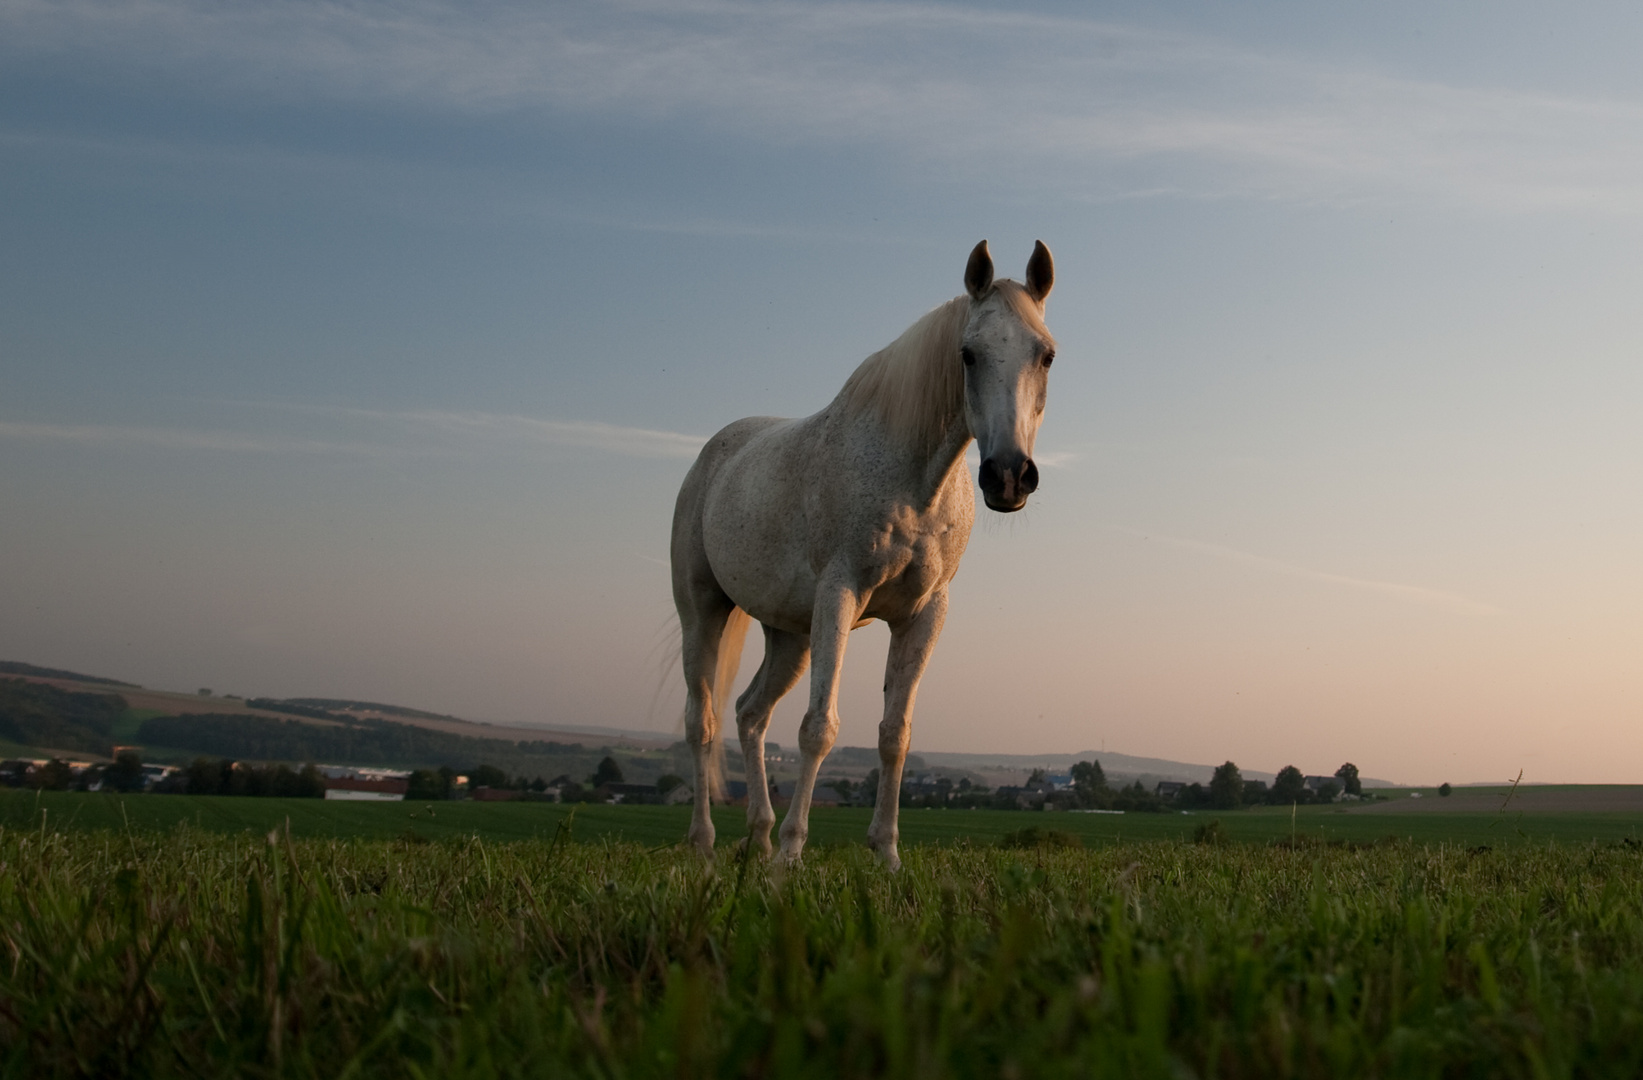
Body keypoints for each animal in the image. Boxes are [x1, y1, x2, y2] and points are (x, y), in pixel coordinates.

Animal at [673, 238, 1058, 867]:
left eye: (1045, 355)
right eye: (968, 355)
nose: (1007, 477)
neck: (915, 480)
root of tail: (714, 455)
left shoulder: (924, 615)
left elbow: (894, 733)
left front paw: (886, 855)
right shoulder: (840, 595)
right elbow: (818, 728)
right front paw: (791, 859)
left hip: (790, 636)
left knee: (750, 714)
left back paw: (757, 836)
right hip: (703, 612)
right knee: (701, 721)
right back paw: (706, 845)